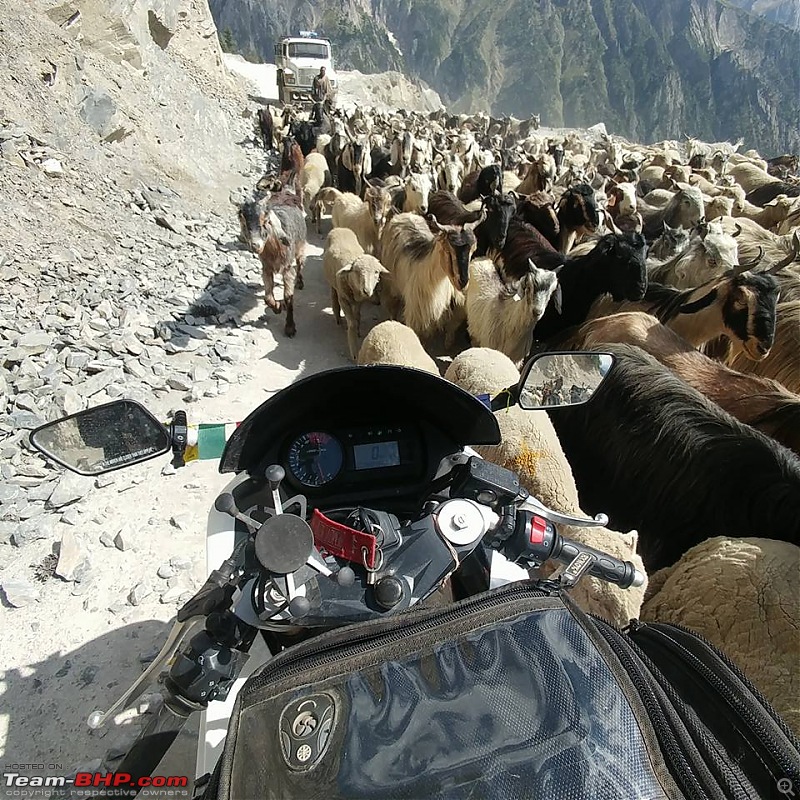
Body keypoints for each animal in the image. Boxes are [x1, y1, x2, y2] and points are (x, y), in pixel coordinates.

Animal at [382, 211, 482, 342]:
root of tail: (403, 215)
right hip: (391, 285)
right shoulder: (418, 317)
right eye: (448, 250)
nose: (463, 282)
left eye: (473, 250)